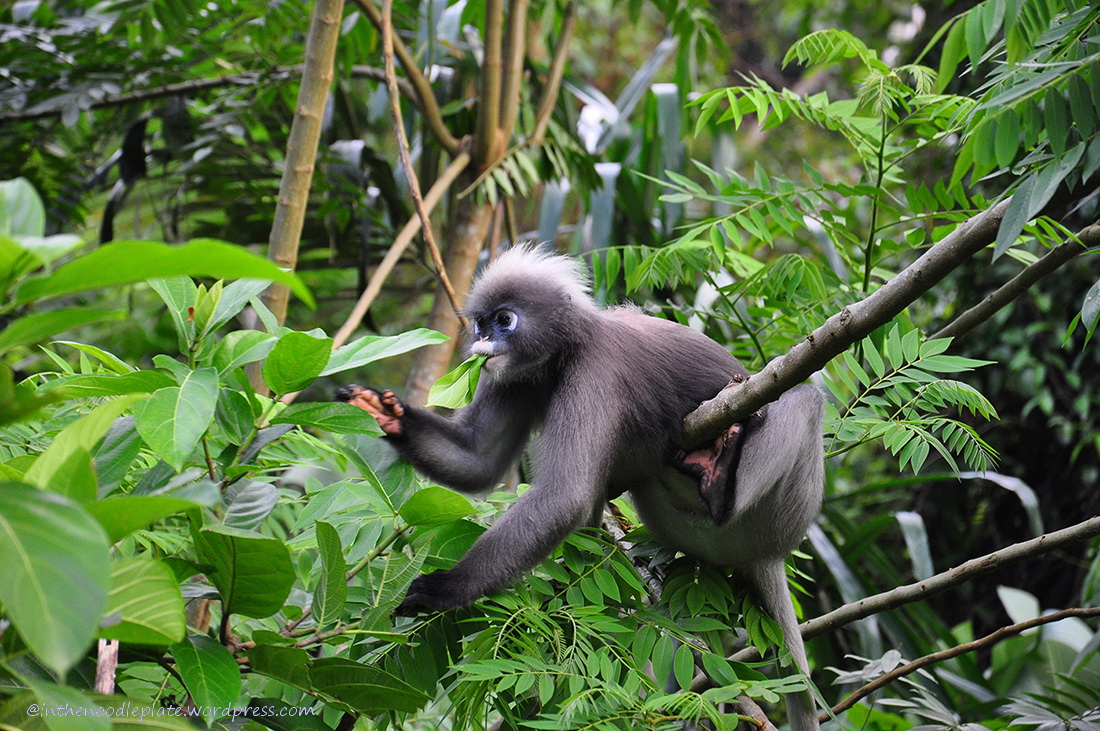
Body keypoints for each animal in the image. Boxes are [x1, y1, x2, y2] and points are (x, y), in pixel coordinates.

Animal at [338, 245, 822, 729]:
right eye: (481, 323)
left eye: (504, 321)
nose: (482, 343)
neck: (562, 354)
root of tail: (764, 555)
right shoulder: (519, 379)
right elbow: (478, 462)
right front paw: (385, 414)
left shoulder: (595, 371)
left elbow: (564, 496)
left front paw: (446, 590)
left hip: (779, 514)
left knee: (805, 397)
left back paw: (721, 488)